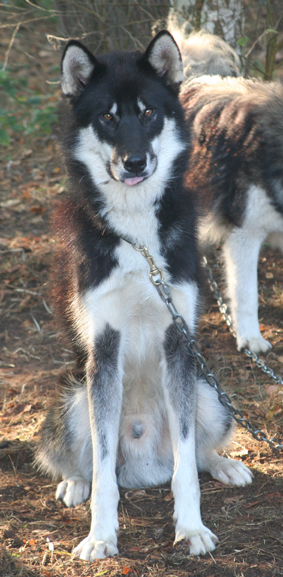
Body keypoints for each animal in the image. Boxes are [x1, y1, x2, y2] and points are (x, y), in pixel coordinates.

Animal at [36, 30, 253, 560]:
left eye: (149, 111)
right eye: (108, 117)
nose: (135, 162)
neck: (136, 235)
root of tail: (143, 467)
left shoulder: (179, 344)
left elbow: (186, 468)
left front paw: (191, 528)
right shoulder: (103, 350)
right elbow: (103, 472)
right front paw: (100, 536)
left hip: (207, 392)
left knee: (193, 454)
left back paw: (225, 464)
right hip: (75, 398)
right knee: (82, 461)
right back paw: (74, 483)